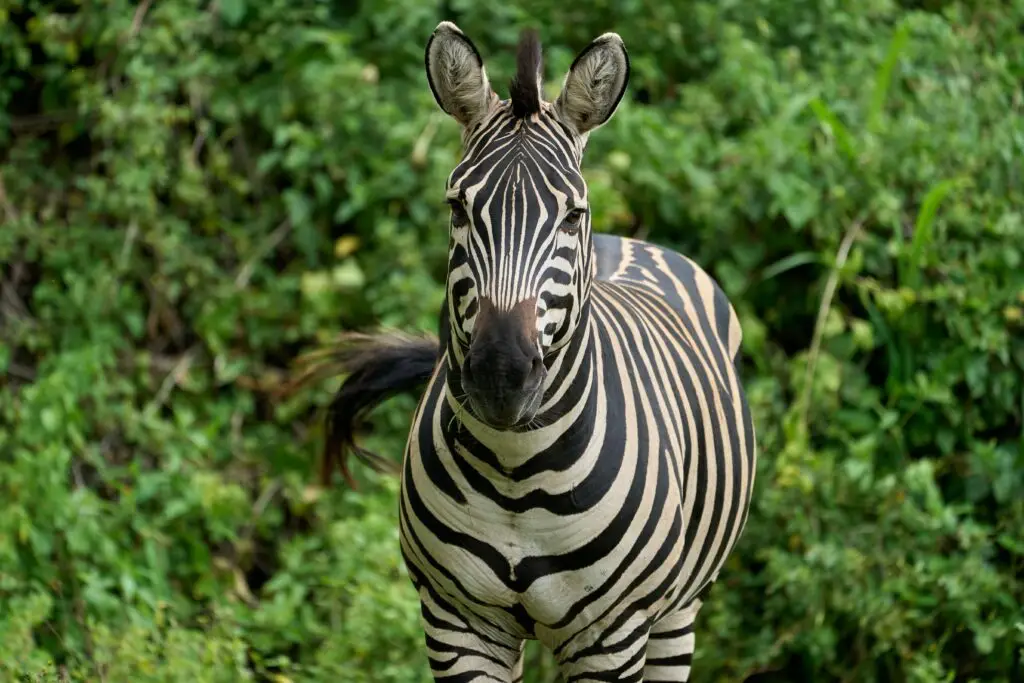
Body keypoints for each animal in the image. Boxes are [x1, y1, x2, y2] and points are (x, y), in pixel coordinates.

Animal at [299, 21, 757, 683]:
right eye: (457, 208)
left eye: (571, 214)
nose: (501, 374)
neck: (518, 473)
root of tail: (631, 243)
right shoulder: (457, 623)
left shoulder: (611, 637)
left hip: (676, 613)